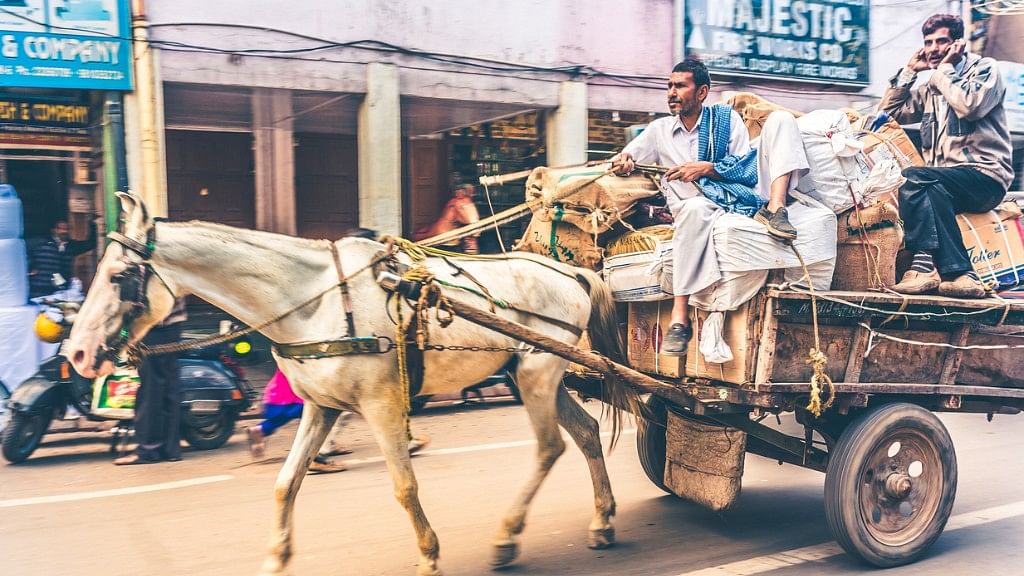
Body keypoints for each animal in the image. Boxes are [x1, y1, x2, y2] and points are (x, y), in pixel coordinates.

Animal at [66, 193, 630, 573]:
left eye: (119, 276)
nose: (76, 354)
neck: (312, 299)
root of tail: (570, 273)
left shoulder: (382, 404)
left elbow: (404, 487)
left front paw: (429, 554)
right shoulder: (321, 406)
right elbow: (285, 482)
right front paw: (277, 556)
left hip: (537, 372)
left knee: (550, 447)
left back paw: (509, 537)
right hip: (536, 373)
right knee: (584, 434)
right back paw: (602, 521)